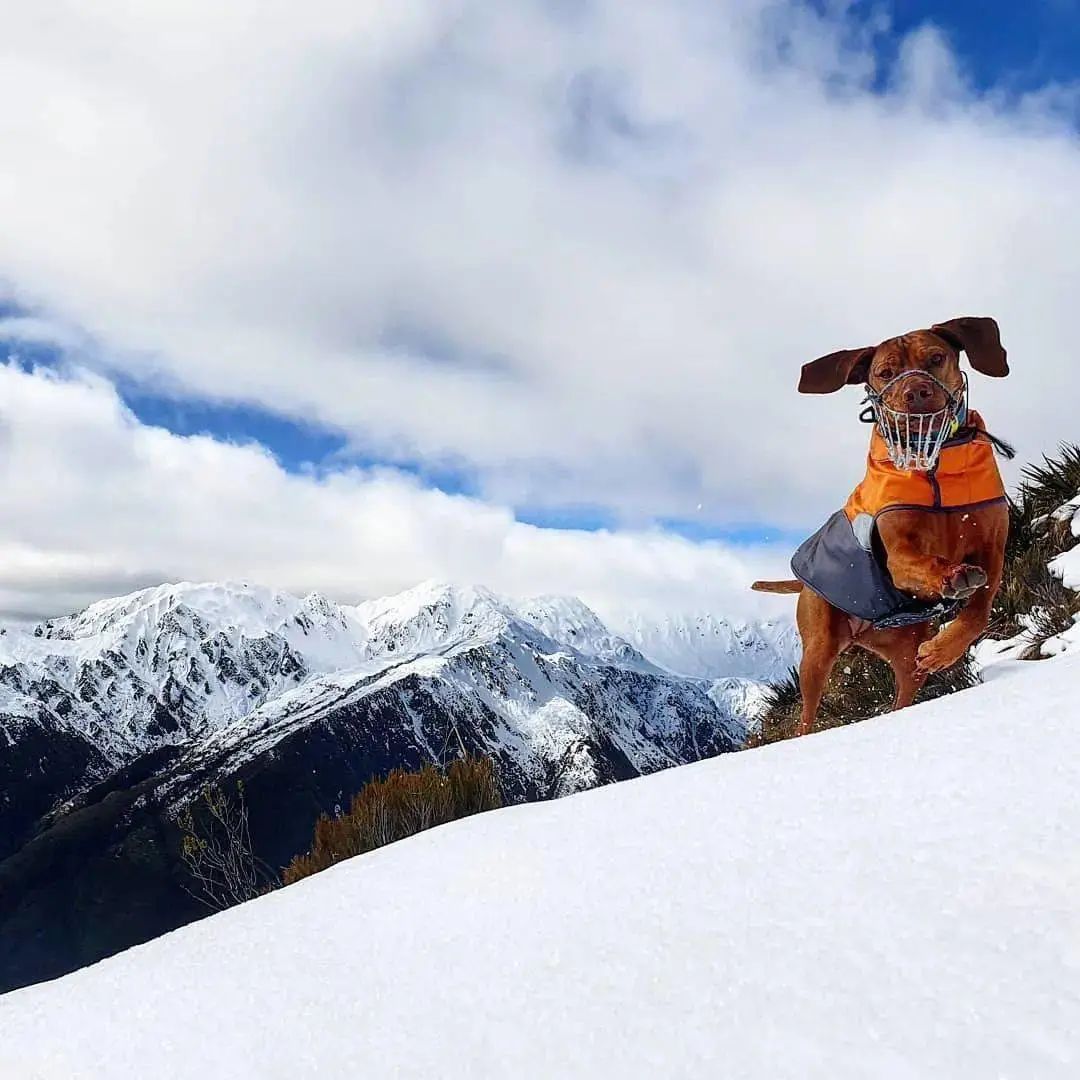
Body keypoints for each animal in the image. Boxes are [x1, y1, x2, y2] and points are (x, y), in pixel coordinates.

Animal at [751, 315, 1010, 738]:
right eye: (886, 373)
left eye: (936, 358)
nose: (916, 392)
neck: (933, 465)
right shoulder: (899, 557)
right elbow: (923, 562)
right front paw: (951, 577)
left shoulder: (993, 548)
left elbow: (977, 613)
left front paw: (942, 649)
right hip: (818, 649)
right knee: (807, 715)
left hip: (902, 645)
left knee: (904, 691)